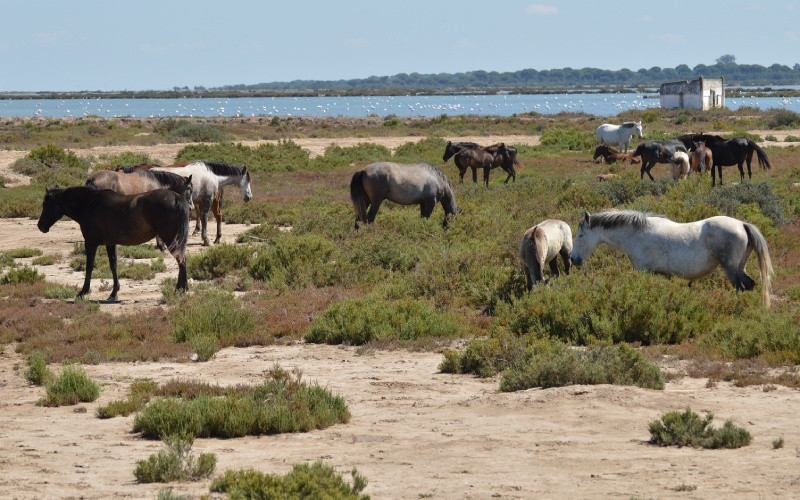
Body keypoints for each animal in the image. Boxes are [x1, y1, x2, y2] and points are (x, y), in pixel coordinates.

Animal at [36, 185, 191, 298]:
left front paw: (83, 291)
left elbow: (89, 266)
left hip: (170, 239)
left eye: (46, 204)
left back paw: (180, 289)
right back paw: (182, 288)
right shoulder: (110, 244)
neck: (89, 204)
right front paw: (114, 292)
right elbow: (113, 266)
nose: (40, 226)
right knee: (182, 260)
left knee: (181, 260)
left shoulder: (90, 243)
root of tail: (177, 197)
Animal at [568, 209, 776, 306]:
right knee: (749, 285)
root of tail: (742, 224)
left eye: (581, 235)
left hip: (731, 269)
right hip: (740, 267)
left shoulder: (643, 270)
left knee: (739, 288)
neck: (636, 233)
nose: (574, 259)